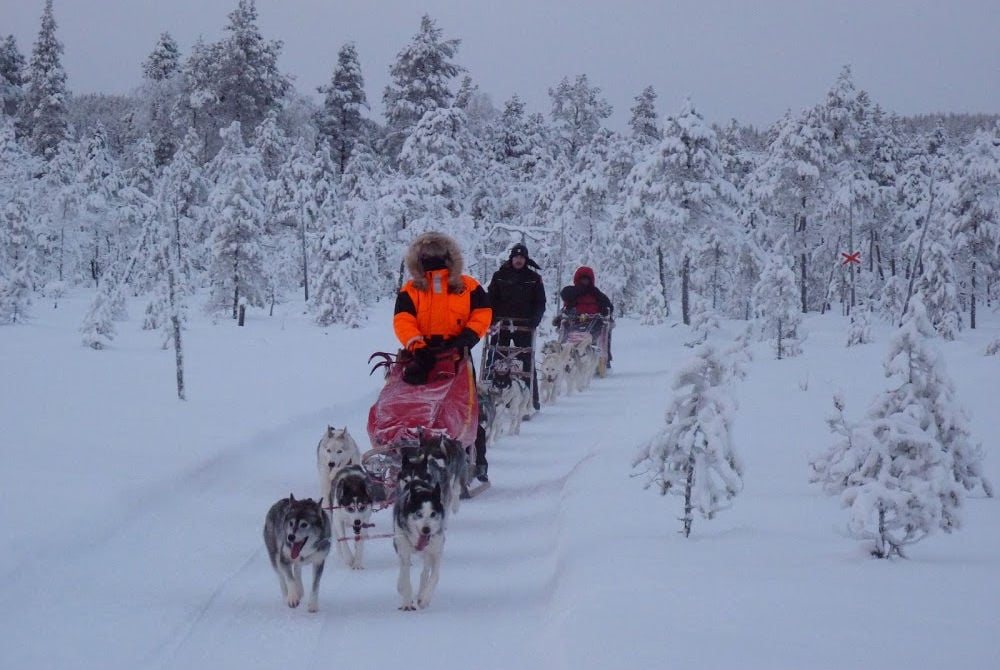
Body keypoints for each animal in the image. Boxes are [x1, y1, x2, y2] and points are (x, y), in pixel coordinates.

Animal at [394, 476, 446, 612]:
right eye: (418, 513)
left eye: (433, 514)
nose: (426, 529)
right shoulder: (404, 552)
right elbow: (405, 577)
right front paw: (407, 602)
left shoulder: (436, 551)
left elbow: (435, 576)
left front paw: (424, 599)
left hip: (428, 553)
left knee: (425, 572)